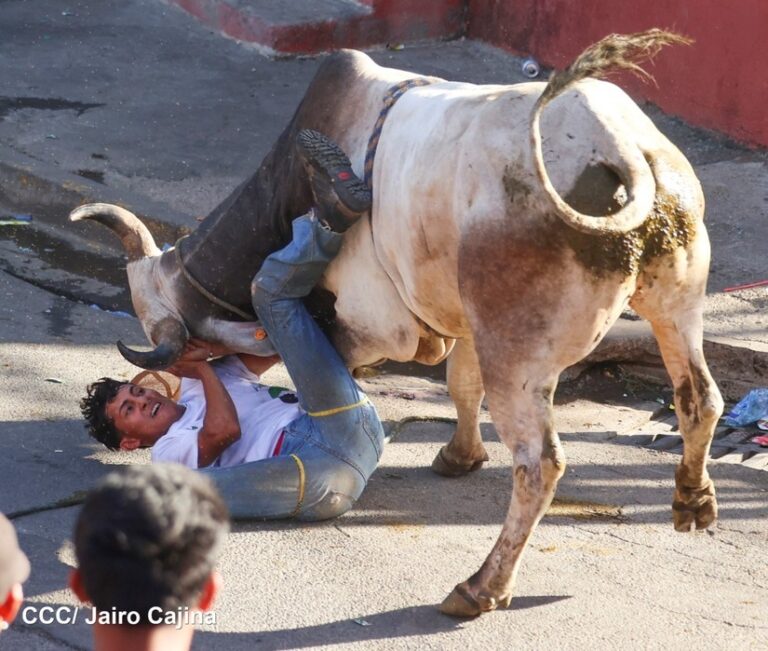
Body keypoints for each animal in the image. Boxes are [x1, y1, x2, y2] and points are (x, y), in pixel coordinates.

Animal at [71, 30, 723, 617]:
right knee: (700, 399)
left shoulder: (369, 324)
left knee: (540, 465)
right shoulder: (462, 318)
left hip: (519, 351)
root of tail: (624, 152)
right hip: (674, 301)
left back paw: (480, 588)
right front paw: (460, 456)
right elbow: (461, 384)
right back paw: (692, 502)